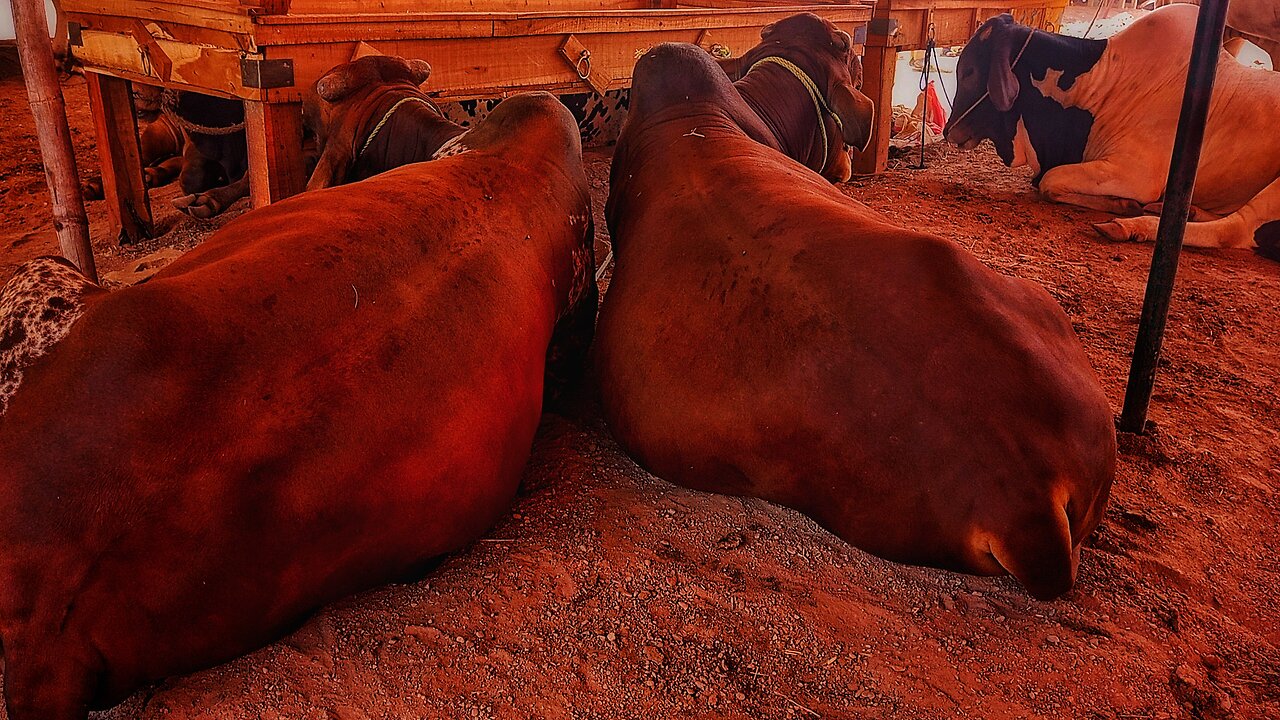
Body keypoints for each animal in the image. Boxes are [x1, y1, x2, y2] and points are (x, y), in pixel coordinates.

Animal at [942, 4, 1280, 252]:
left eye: (969, 71)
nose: (948, 131)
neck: (1104, 84)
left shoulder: (1137, 174)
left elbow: (1050, 180)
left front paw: (1124, 205)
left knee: (1236, 230)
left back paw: (1130, 225)